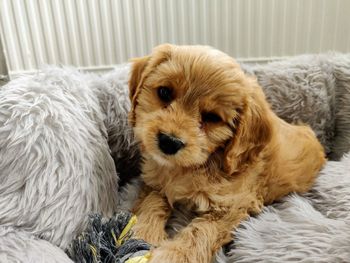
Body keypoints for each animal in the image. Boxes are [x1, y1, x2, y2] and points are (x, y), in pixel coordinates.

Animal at [128, 44, 326, 263]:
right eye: (164, 92)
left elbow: (200, 232)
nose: (169, 142)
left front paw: (172, 255)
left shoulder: (233, 206)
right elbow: (151, 202)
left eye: (212, 117)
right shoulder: (154, 182)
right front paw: (144, 234)